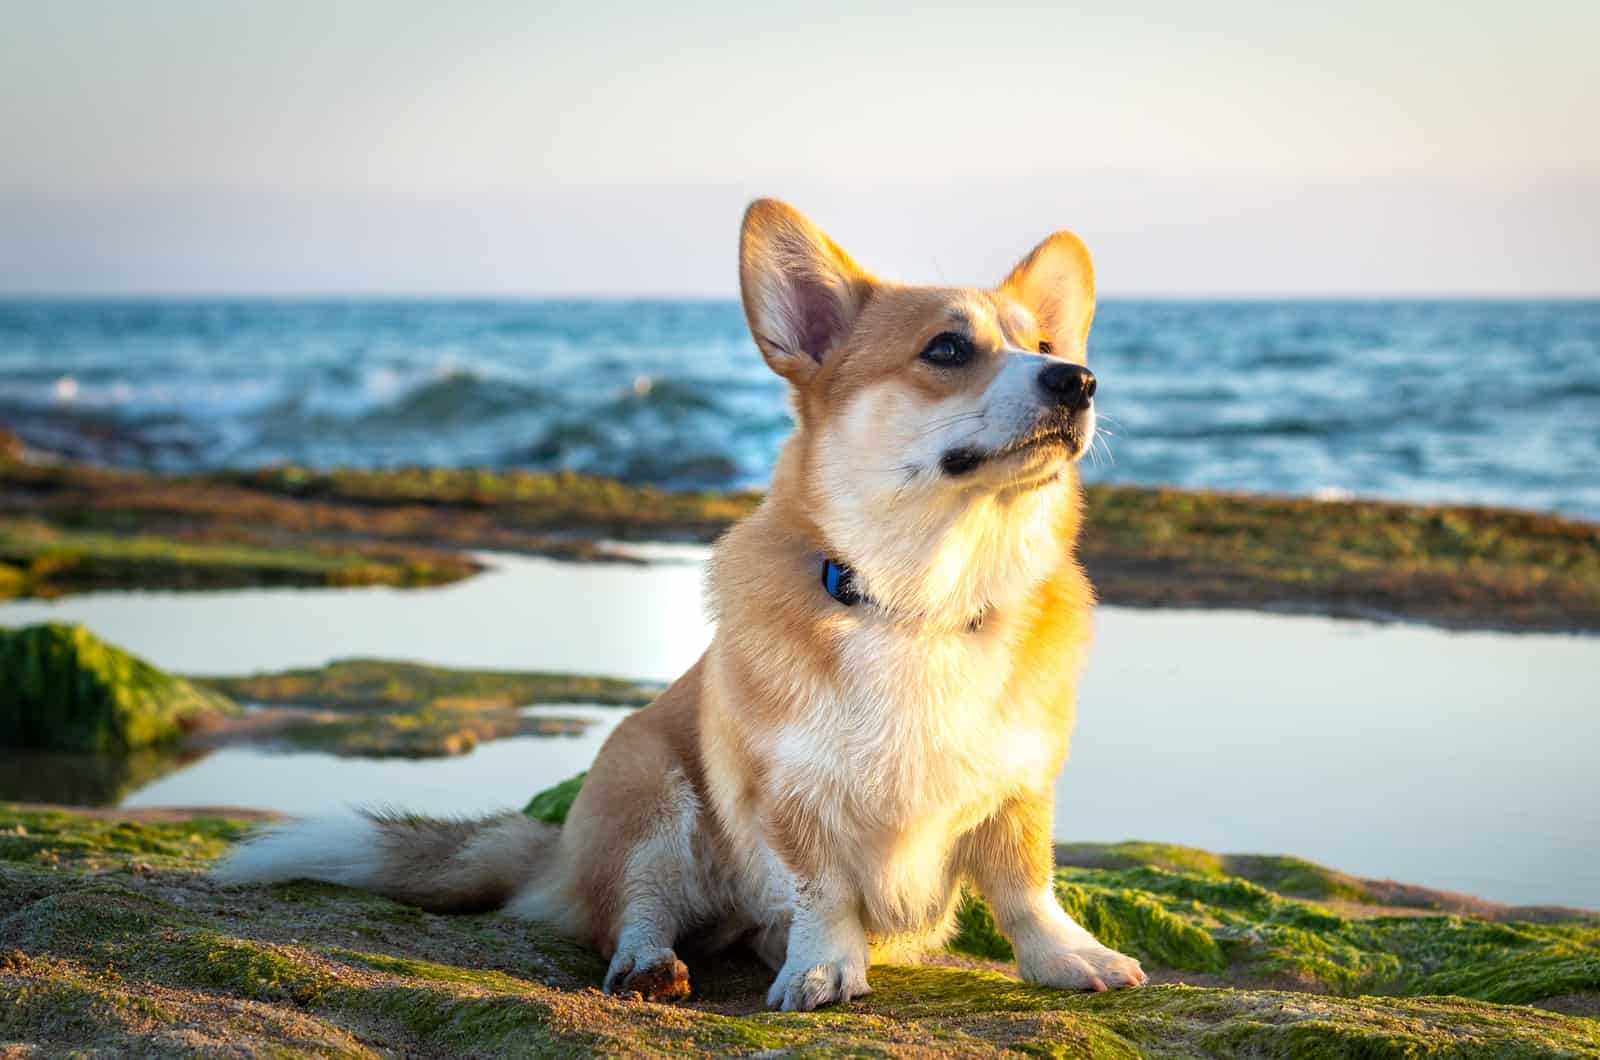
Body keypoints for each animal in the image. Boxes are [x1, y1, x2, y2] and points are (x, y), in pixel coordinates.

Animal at [219, 201, 1145, 1011]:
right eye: (948, 348)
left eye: (1045, 344)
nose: (1079, 380)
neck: (921, 596)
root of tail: (556, 850)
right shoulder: (788, 793)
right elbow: (822, 894)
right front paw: (823, 969)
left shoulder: (1018, 786)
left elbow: (1026, 885)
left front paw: (1067, 957)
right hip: (650, 790)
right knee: (637, 907)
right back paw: (650, 963)